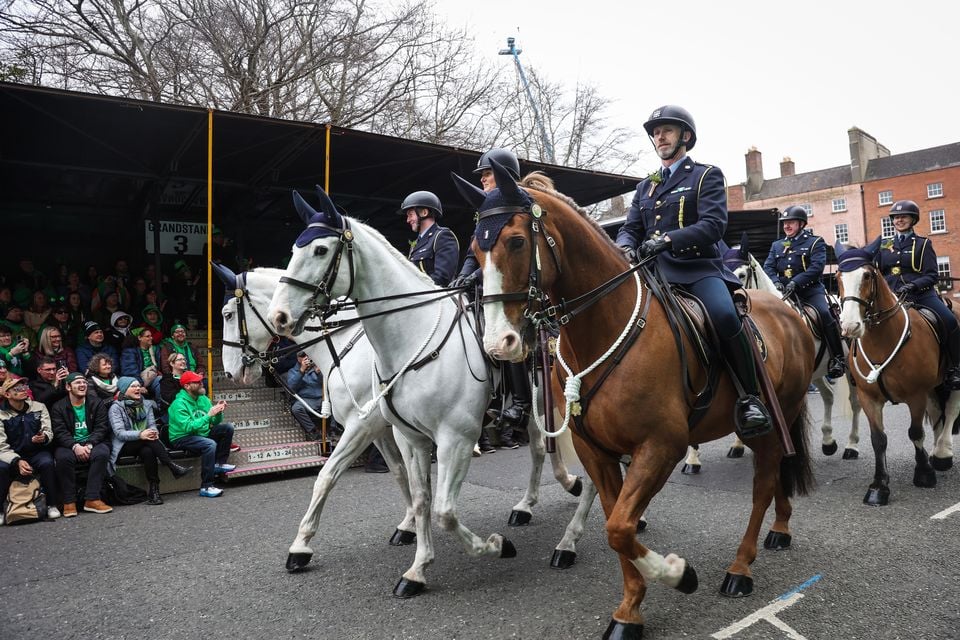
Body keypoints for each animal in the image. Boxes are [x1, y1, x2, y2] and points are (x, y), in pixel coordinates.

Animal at [264, 189, 592, 596]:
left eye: (321, 250)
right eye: (295, 248)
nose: (279, 316)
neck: (410, 335)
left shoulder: (453, 438)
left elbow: (443, 511)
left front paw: (496, 546)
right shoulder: (409, 436)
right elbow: (420, 498)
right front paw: (417, 567)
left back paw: (575, 530)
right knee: (539, 449)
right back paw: (530, 505)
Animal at [464, 166, 816, 640]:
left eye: (517, 241)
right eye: (474, 249)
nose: (498, 343)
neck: (604, 328)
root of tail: (787, 311)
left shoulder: (660, 446)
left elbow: (620, 527)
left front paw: (678, 574)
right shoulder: (597, 452)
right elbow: (617, 525)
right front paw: (630, 608)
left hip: (774, 417)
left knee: (762, 485)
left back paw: (741, 567)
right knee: (775, 475)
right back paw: (780, 529)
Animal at [832, 252, 952, 508]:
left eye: (867, 275)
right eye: (837, 277)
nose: (850, 326)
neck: (883, 339)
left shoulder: (916, 395)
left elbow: (915, 432)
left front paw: (924, 473)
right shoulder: (869, 398)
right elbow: (878, 439)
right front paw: (879, 486)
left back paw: (942, 454)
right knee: (938, 414)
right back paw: (939, 453)